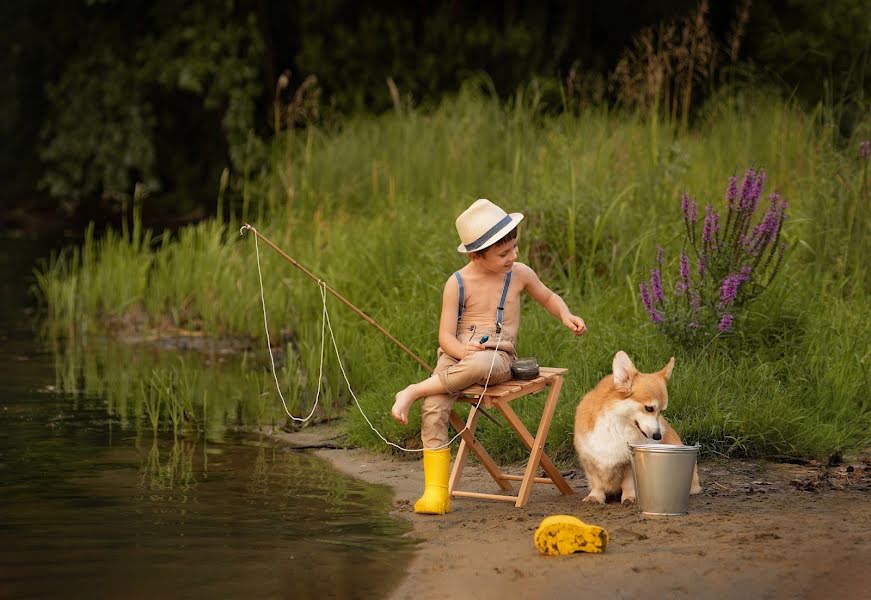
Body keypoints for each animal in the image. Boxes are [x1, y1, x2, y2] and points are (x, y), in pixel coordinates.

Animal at [572, 350, 700, 504]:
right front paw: (595, 497)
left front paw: (629, 497)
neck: (617, 424)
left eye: (661, 412)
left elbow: (628, 483)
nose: (658, 436)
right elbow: (596, 482)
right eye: (649, 408)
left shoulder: (629, 463)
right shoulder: (589, 460)